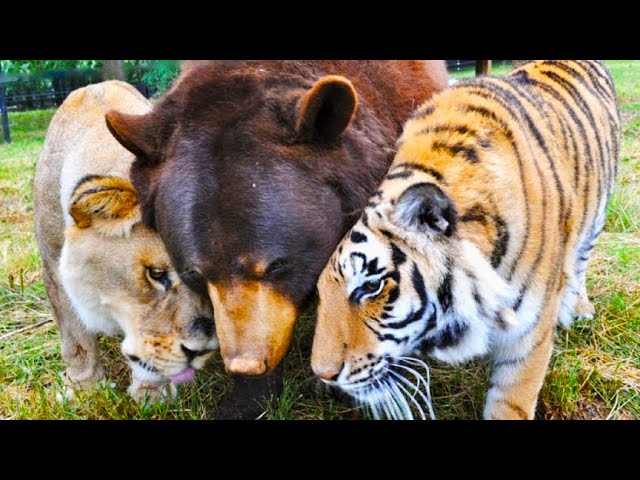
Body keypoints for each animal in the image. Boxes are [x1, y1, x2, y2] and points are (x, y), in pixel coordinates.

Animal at [35, 81, 220, 402]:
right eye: (156, 274)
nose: (202, 351)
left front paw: (151, 394)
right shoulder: (54, 269)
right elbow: (76, 340)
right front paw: (84, 390)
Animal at [310, 61, 620, 420]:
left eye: (370, 286)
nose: (323, 374)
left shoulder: (529, 333)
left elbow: (511, 402)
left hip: (596, 217)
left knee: (581, 260)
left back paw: (580, 307)